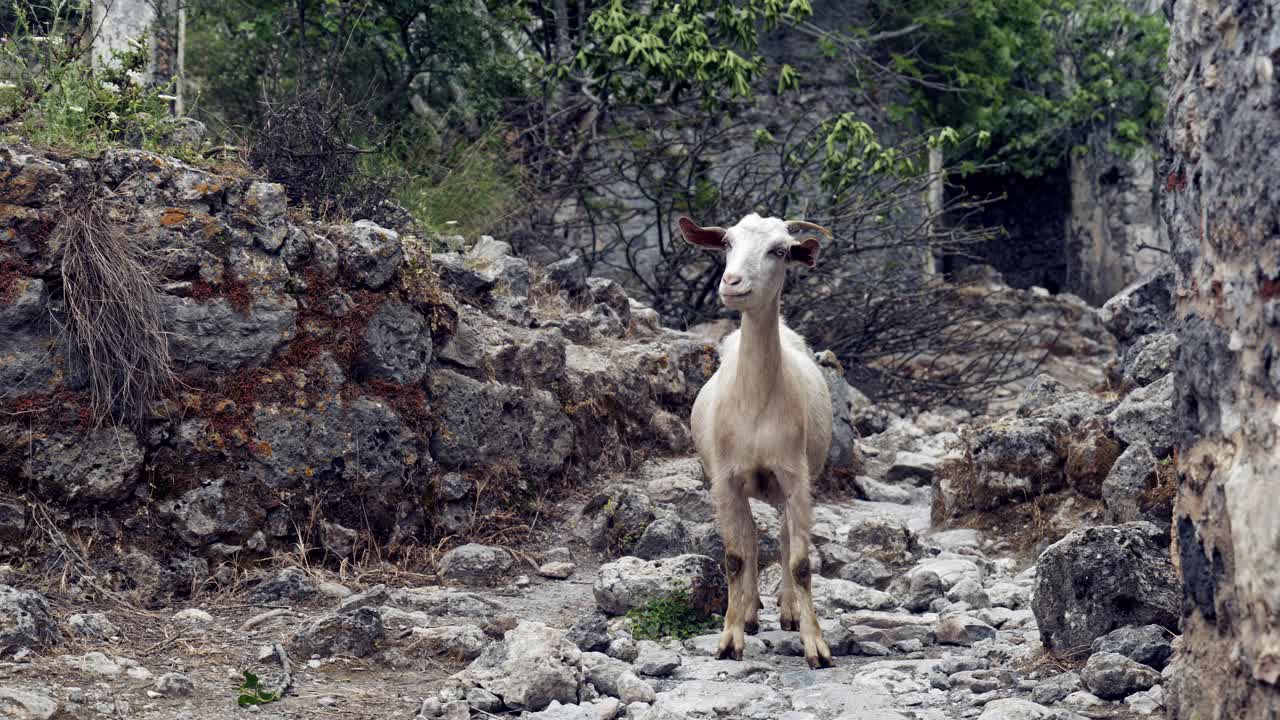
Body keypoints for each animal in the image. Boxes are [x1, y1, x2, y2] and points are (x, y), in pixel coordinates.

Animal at [678, 212, 835, 669]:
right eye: (727, 243)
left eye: (779, 250)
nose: (732, 283)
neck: (757, 402)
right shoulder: (726, 480)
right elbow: (734, 557)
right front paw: (729, 639)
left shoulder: (796, 477)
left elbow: (800, 563)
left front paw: (815, 644)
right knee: (748, 539)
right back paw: (748, 613)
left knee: (781, 539)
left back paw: (787, 610)